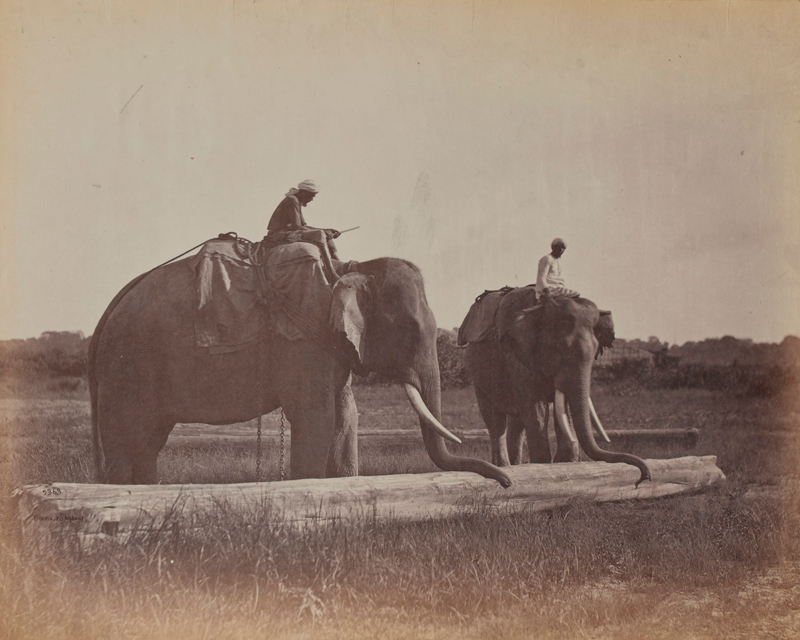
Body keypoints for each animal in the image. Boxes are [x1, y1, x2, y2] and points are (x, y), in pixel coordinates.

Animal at [89, 250, 512, 484]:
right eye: (408, 329)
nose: (507, 481)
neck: (349, 266)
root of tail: (111, 307)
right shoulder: (304, 341)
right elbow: (316, 416)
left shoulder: (330, 344)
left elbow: (345, 415)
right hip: (127, 367)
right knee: (125, 439)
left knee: (148, 442)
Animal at [460, 288, 652, 488]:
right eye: (559, 348)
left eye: (596, 350)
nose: (644, 478)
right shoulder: (519, 358)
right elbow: (536, 411)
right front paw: (543, 464)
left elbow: (561, 409)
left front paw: (567, 461)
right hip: (477, 376)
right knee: (496, 422)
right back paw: (505, 467)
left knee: (517, 423)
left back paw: (516, 466)